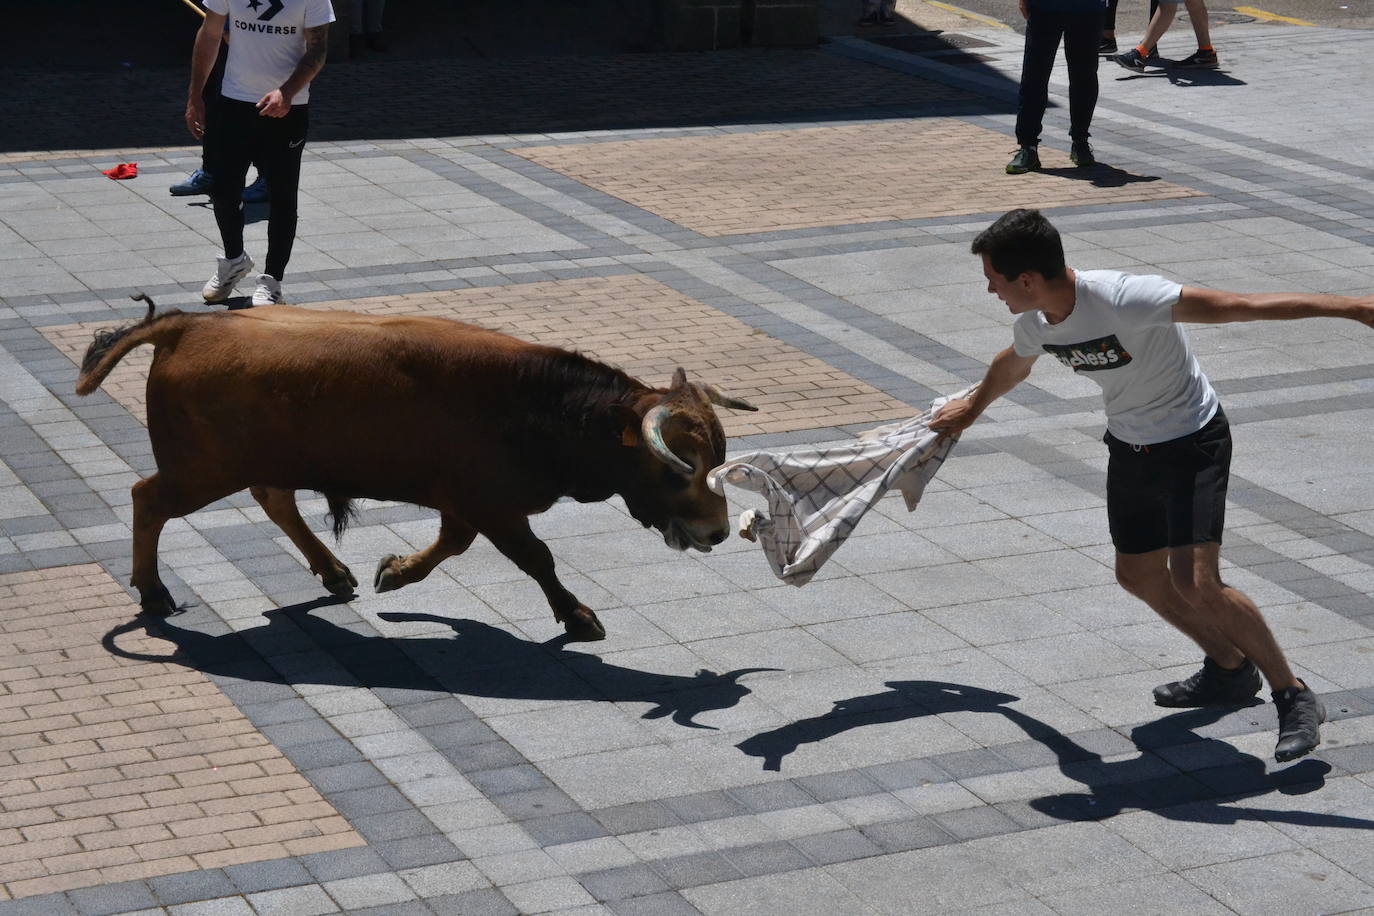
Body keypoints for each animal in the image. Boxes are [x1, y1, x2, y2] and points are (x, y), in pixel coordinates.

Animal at [79, 298, 758, 642]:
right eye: (679, 470)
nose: (718, 531)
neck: (534, 402)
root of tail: (187, 325)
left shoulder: (466, 505)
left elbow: (450, 545)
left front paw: (396, 572)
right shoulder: (492, 506)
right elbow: (537, 558)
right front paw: (577, 615)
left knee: (274, 499)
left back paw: (335, 572)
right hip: (199, 472)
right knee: (147, 500)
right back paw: (154, 592)